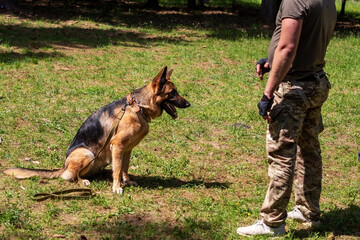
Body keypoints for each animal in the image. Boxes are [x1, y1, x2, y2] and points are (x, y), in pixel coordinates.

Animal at [3, 66, 191, 194]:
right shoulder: (118, 145)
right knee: (72, 176)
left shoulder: (127, 149)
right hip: (87, 154)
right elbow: (118, 169)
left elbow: (124, 167)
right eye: (172, 93)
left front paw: (126, 181)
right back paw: (83, 181)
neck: (139, 107)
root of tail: (63, 167)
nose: (189, 104)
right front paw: (117, 187)